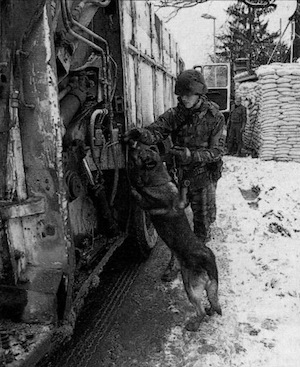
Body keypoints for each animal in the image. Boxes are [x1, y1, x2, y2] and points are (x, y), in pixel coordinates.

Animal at [127, 142, 223, 334]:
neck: (159, 181)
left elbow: (138, 194)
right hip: (211, 286)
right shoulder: (181, 201)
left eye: (140, 154)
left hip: (190, 286)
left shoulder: (147, 201)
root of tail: (208, 258)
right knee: (214, 300)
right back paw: (210, 310)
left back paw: (194, 324)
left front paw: (132, 186)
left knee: (199, 310)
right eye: (141, 147)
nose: (131, 145)